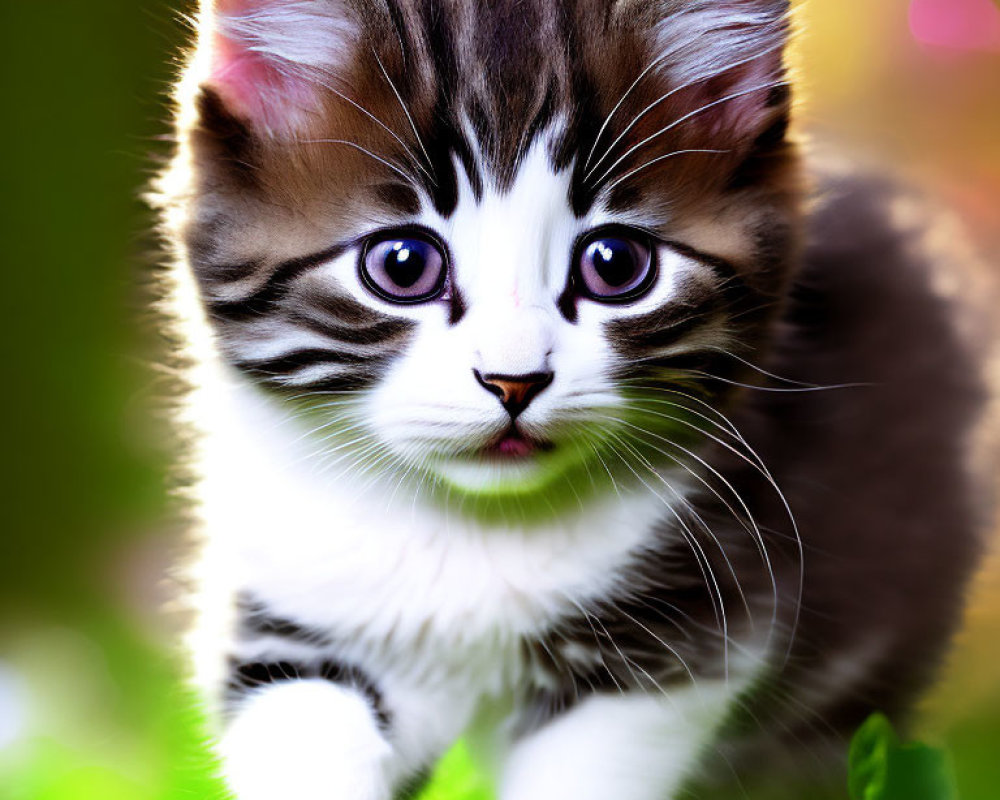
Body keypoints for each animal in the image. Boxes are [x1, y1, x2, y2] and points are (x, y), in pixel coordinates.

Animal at [154, 1, 992, 800]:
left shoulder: (680, 634)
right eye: (402, 264)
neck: (473, 534)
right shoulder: (289, 612)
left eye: (616, 265)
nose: (513, 380)